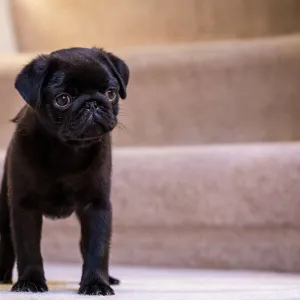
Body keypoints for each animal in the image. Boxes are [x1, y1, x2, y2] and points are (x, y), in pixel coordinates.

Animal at [0, 47, 129, 296]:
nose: (92, 104)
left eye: (110, 93)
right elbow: (28, 247)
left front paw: (96, 283)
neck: (66, 150)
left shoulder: (96, 206)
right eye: (63, 99)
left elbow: (97, 247)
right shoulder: (24, 206)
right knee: (7, 244)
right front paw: (30, 281)